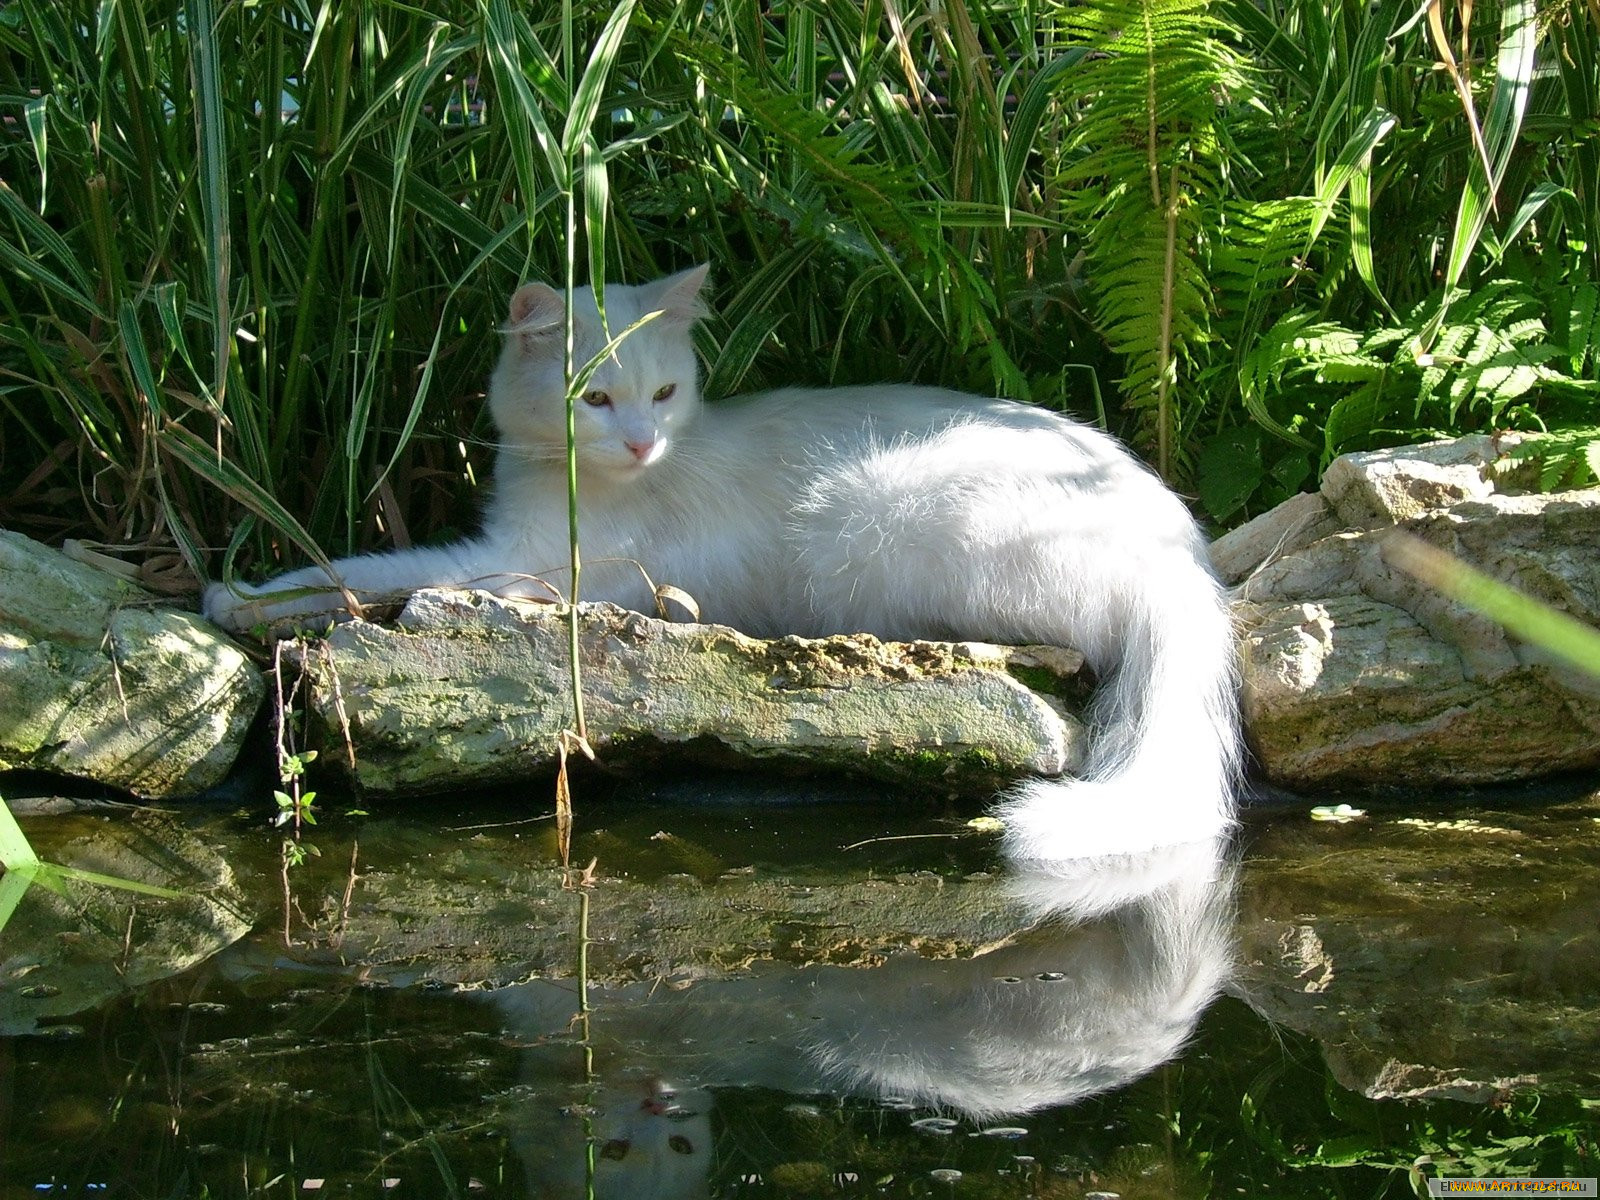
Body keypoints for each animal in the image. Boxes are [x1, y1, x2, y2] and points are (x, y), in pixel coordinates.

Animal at [206, 264, 1241, 864]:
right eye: (597, 398)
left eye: (664, 392)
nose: (639, 442)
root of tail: (1182, 554)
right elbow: (366, 571)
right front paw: (252, 594)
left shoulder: (557, 571)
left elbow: (387, 571)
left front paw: (246, 596)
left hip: (881, 522)